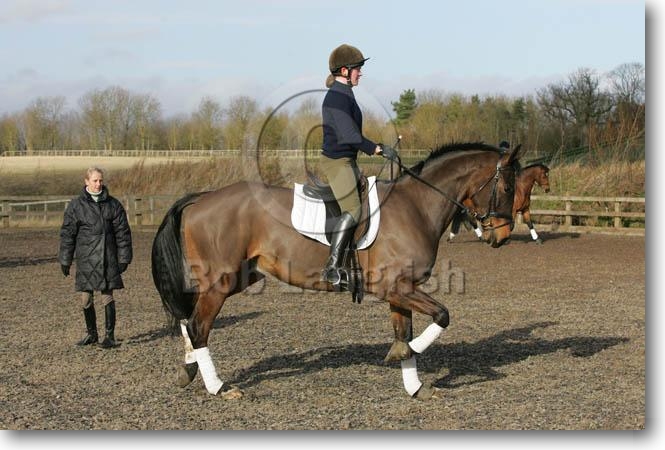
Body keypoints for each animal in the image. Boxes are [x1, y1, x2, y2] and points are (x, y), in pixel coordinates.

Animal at [151, 142, 523, 400]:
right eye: (507, 189)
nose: (502, 237)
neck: (415, 205)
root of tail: (202, 198)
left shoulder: (400, 290)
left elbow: (404, 332)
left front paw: (414, 383)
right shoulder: (395, 288)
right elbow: (442, 315)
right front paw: (408, 353)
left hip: (239, 277)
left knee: (188, 321)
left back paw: (188, 372)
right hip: (220, 281)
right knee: (198, 327)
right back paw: (220, 388)